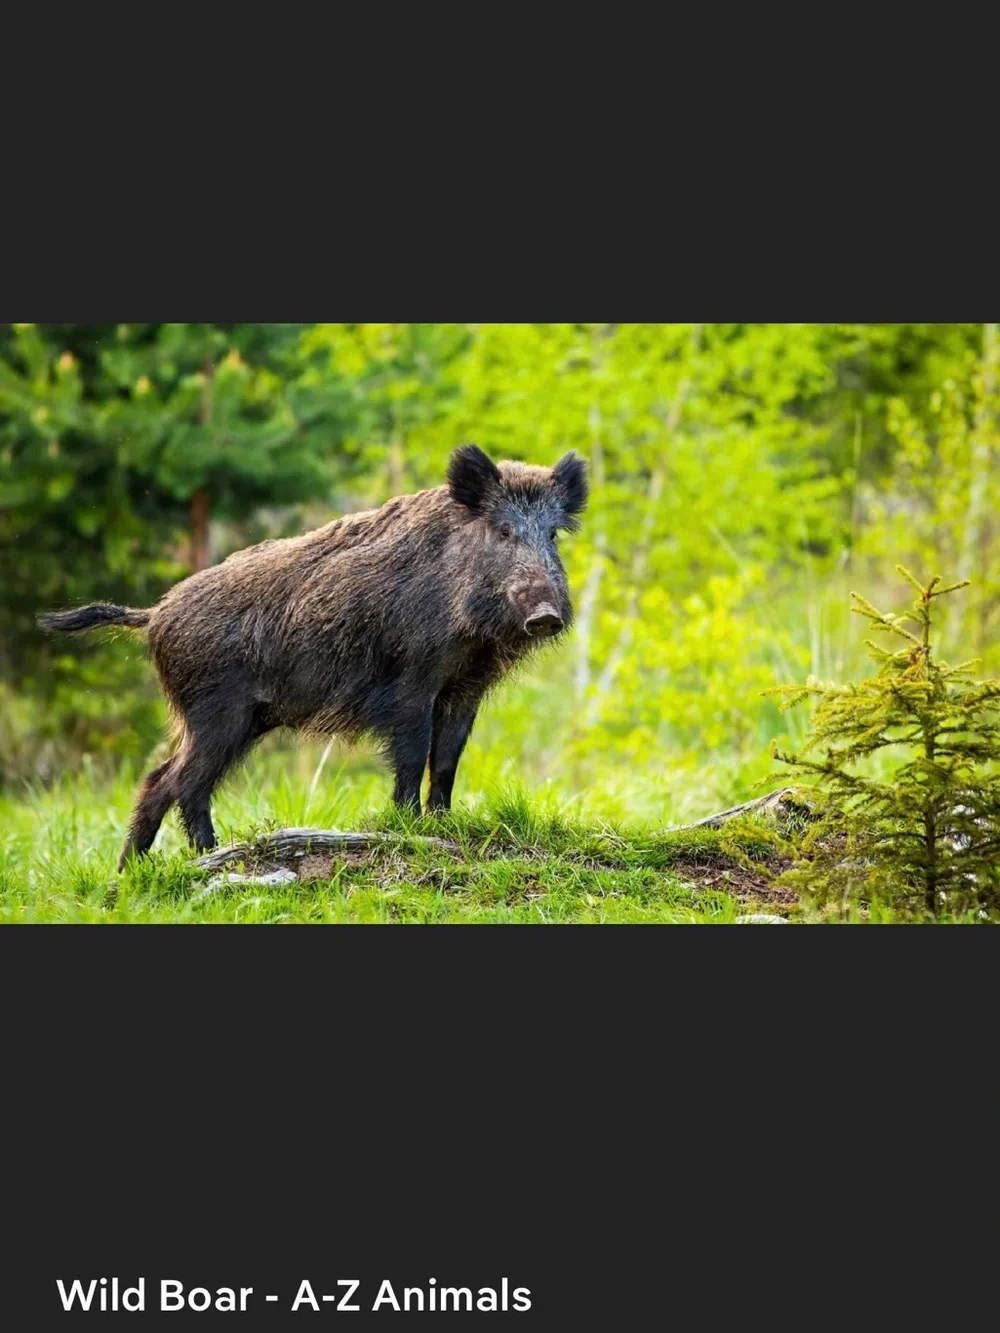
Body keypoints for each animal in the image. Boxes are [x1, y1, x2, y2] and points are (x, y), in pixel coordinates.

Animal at [38, 445, 588, 870]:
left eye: (552, 535)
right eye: (503, 531)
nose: (545, 614)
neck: (470, 633)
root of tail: (153, 615)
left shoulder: (464, 689)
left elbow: (448, 760)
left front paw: (443, 826)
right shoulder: (411, 683)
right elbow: (413, 756)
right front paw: (409, 829)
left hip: (237, 718)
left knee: (160, 779)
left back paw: (132, 871)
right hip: (218, 711)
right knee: (184, 781)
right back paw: (210, 856)